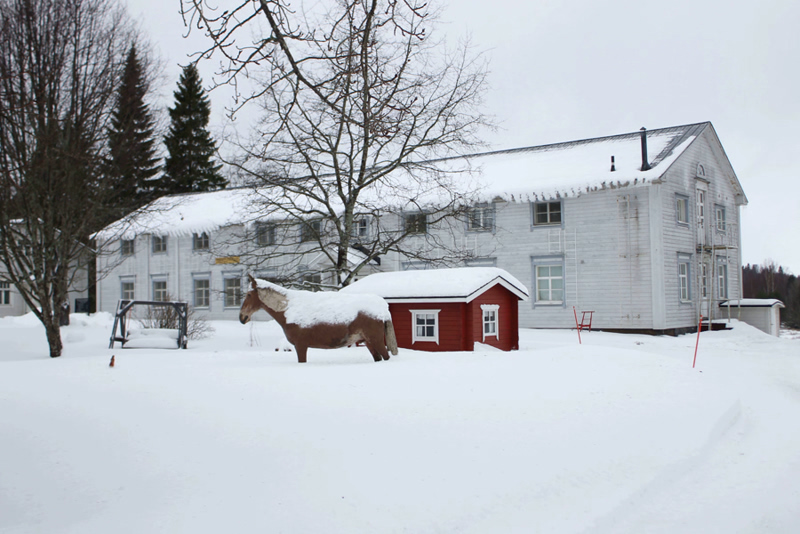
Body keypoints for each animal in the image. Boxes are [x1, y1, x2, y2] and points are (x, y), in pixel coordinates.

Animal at [238, 276, 400, 364]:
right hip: (369, 342)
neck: (289, 309)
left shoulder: (301, 346)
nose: (242, 317)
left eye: (249, 295)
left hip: (376, 341)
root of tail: (383, 310)